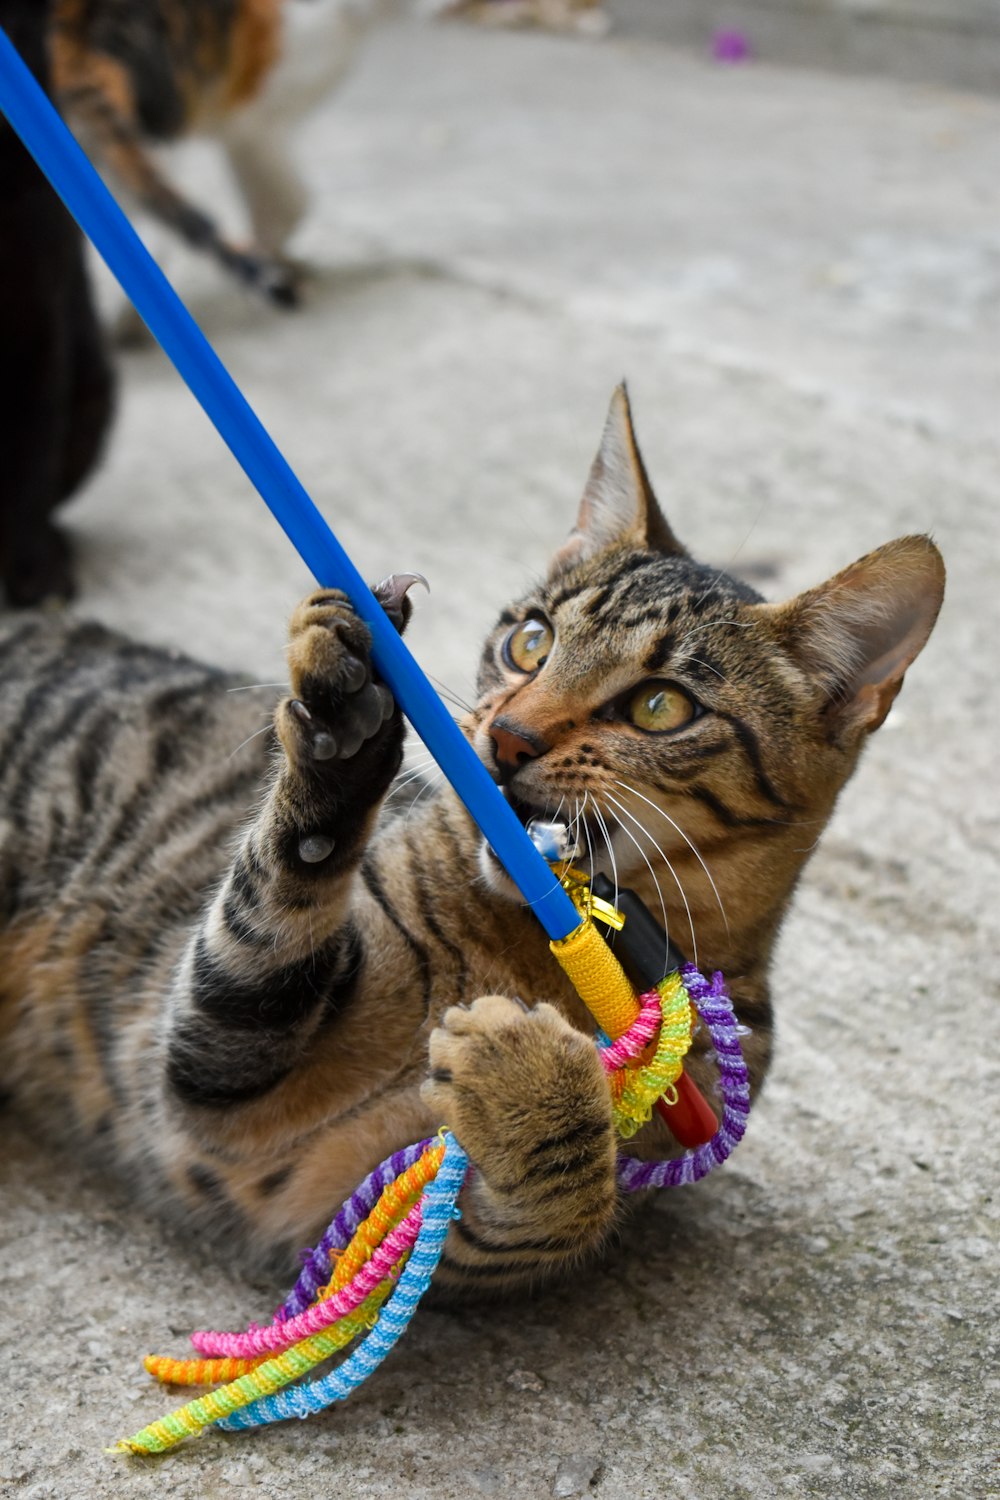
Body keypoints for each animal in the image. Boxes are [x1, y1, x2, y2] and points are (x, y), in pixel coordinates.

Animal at [0, 390, 947, 1290]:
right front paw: (342, 716)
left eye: (660, 706)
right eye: (532, 641)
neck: (527, 953)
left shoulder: (374, 1208)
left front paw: (529, 1079)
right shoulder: (204, 1058)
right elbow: (275, 899)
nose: (510, 737)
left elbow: (566, 1199)